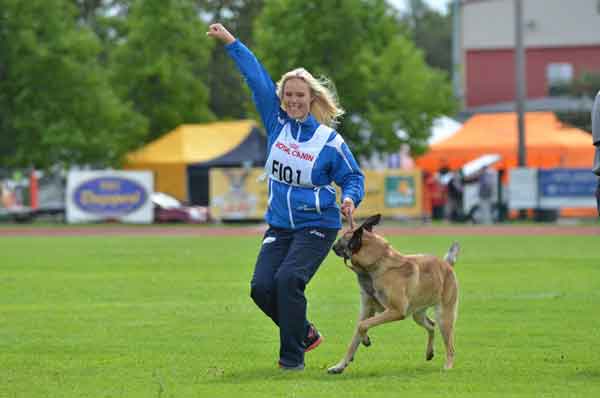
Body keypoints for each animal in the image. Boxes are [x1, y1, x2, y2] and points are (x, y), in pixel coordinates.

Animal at [328, 215, 460, 374]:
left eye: (342, 240)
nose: (332, 246)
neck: (378, 261)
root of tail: (447, 265)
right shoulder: (367, 311)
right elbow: (356, 335)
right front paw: (340, 365)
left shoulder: (396, 311)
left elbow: (363, 325)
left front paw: (365, 340)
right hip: (418, 314)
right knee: (431, 325)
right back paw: (429, 352)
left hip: (444, 317)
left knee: (450, 346)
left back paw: (448, 366)